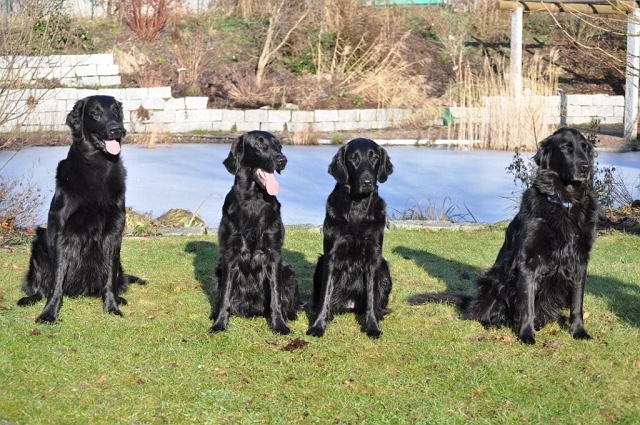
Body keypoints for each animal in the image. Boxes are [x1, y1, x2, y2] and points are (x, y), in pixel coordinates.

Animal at [17, 95, 145, 322]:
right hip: (39, 242)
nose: (117, 129)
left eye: (116, 111)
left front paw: (112, 307)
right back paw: (31, 298)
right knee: (40, 287)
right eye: (95, 113)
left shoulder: (114, 233)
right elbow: (55, 283)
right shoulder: (62, 233)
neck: (97, 165)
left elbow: (109, 279)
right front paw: (49, 313)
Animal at [209, 130, 302, 334]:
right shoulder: (229, 255)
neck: (253, 200)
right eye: (259, 145)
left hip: (288, 271)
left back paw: (289, 315)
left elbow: (276, 297)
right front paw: (219, 323)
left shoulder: (273, 255)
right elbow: (225, 295)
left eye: (279, 145)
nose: (282, 160)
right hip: (219, 270)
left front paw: (279, 325)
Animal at [306, 137, 392, 336]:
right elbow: (325, 296)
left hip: (384, 268)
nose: (367, 182)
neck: (357, 207)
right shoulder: (331, 258)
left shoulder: (373, 258)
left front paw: (372, 326)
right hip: (320, 265)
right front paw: (318, 326)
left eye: (375, 157)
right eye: (353, 159)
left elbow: (371, 297)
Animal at [410, 127, 600, 342]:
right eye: (566, 148)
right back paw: (494, 324)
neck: (565, 202)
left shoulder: (580, 261)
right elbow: (527, 305)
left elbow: (577, 303)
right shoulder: (529, 261)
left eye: (585, 148)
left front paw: (579, 331)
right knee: (481, 315)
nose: (586, 167)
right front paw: (526, 334)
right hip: (495, 280)